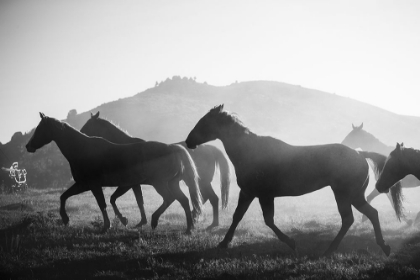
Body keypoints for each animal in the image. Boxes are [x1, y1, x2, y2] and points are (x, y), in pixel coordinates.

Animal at [25, 112, 203, 233]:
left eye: (40, 129)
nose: (28, 146)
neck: (82, 150)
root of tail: (173, 148)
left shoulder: (94, 185)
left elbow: (103, 203)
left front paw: (108, 225)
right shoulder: (84, 185)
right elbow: (64, 197)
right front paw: (65, 219)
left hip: (159, 183)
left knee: (170, 198)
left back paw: (155, 221)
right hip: (171, 183)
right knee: (183, 200)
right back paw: (188, 229)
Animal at [80, 111, 231, 230]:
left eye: (88, 125)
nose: (81, 134)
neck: (125, 147)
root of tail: (212, 148)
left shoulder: (132, 184)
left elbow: (138, 201)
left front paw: (141, 222)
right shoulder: (135, 184)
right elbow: (139, 200)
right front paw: (142, 221)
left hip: (200, 182)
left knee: (210, 198)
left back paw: (206, 222)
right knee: (208, 198)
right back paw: (201, 220)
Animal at [186, 104, 390, 256]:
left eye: (204, 122)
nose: (188, 141)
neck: (250, 151)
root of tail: (360, 154)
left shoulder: (263, 195)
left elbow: (268, 220)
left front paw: (291, 242)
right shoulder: (248, 193)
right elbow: (238, 216)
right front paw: (224, 242)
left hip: (345, 194)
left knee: (350, 218)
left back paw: (331, 249)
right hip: (354, 196)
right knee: (370, 214)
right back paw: (383, 246)